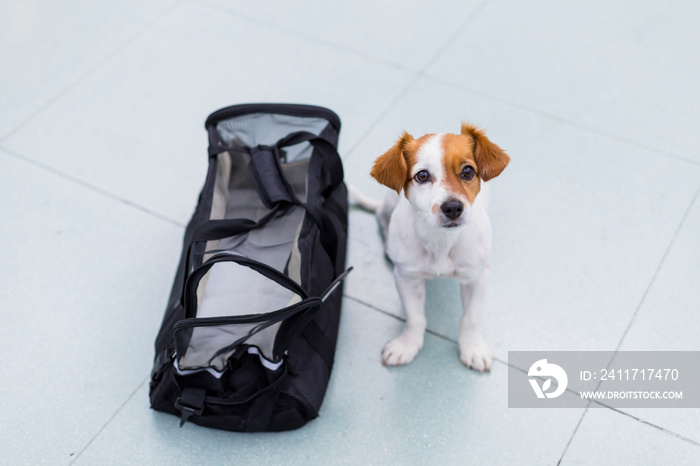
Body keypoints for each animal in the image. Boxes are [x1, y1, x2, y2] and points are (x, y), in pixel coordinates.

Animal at [350, 124, 508, 372]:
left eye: (468, 171)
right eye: (422, 175)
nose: (452, 208)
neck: (441, 241)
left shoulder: (477, 276)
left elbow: (470, 318)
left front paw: (473, 348)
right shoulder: (406, 277)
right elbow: (415, 318)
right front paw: (407, 345)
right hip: (389, 203)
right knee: (380, 215)